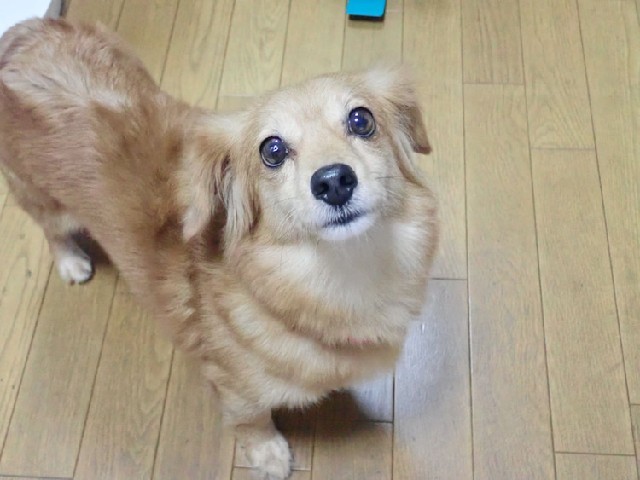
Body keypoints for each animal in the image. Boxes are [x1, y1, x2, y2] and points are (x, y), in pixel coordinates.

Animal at [0, 18, 438, 479]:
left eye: (361, 119)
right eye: (272, 150)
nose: (334, 181)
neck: (342, 271)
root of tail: (23, 31)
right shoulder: (233, 387)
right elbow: (251, 421)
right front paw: (268, 454)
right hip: (41, 198)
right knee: (52, 231)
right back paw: (72, 263)